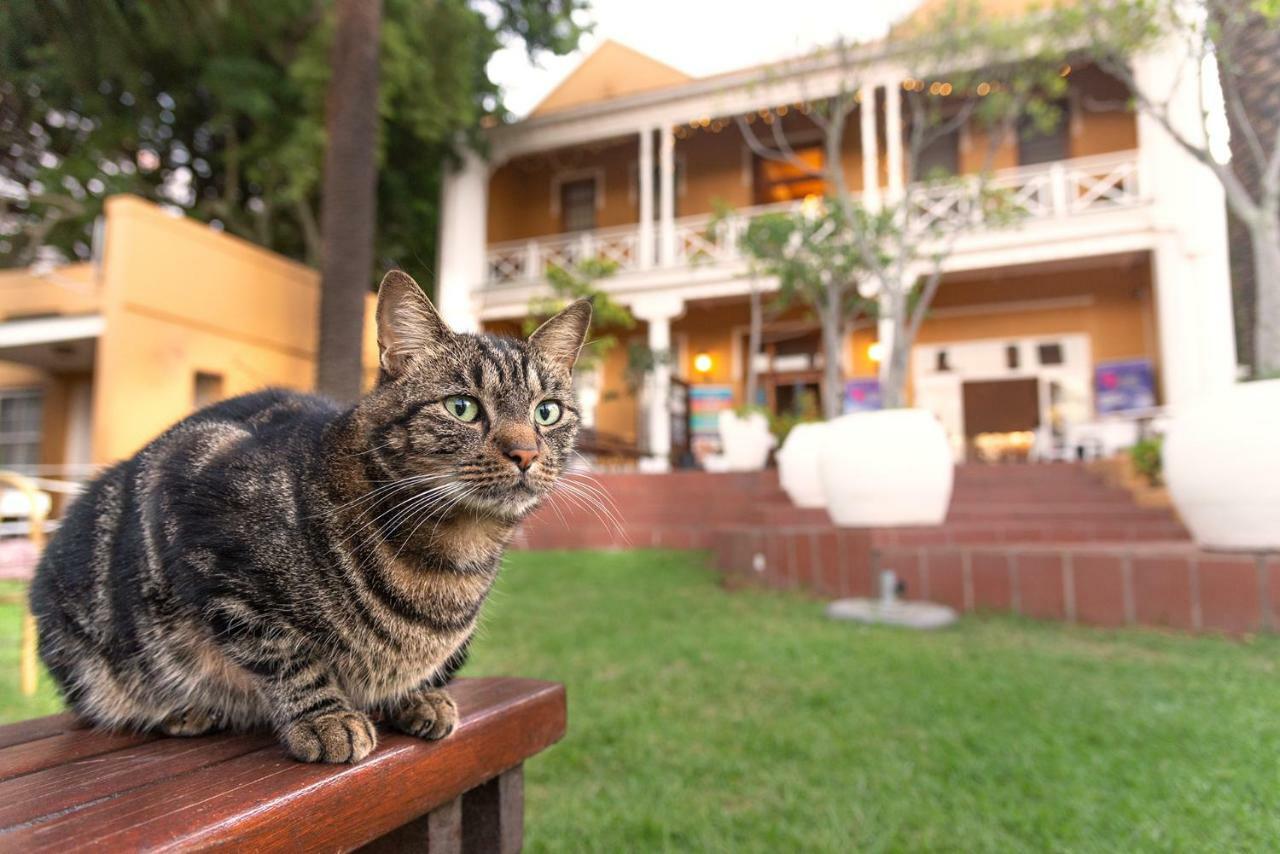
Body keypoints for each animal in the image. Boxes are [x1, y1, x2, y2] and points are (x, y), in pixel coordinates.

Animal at [30, 270, 588, 763]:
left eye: (547, 412)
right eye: (462, 407)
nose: (525, 453)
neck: (453, 556)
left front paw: (418, 694)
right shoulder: (209, 537)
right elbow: (287, 656)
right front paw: (326, 718)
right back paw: (180, 711)